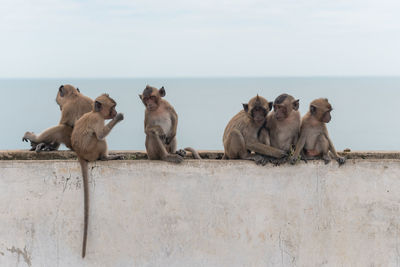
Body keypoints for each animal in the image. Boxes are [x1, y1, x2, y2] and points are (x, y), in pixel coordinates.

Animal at [70, 93, 123, 258]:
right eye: (113, 107)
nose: (115, 112)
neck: (95, 112)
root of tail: (80, 154)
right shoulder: (97, 119)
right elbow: (100, 134)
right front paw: (118, 118)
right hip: (92, 151)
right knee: (99, 140)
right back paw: (106, 157)